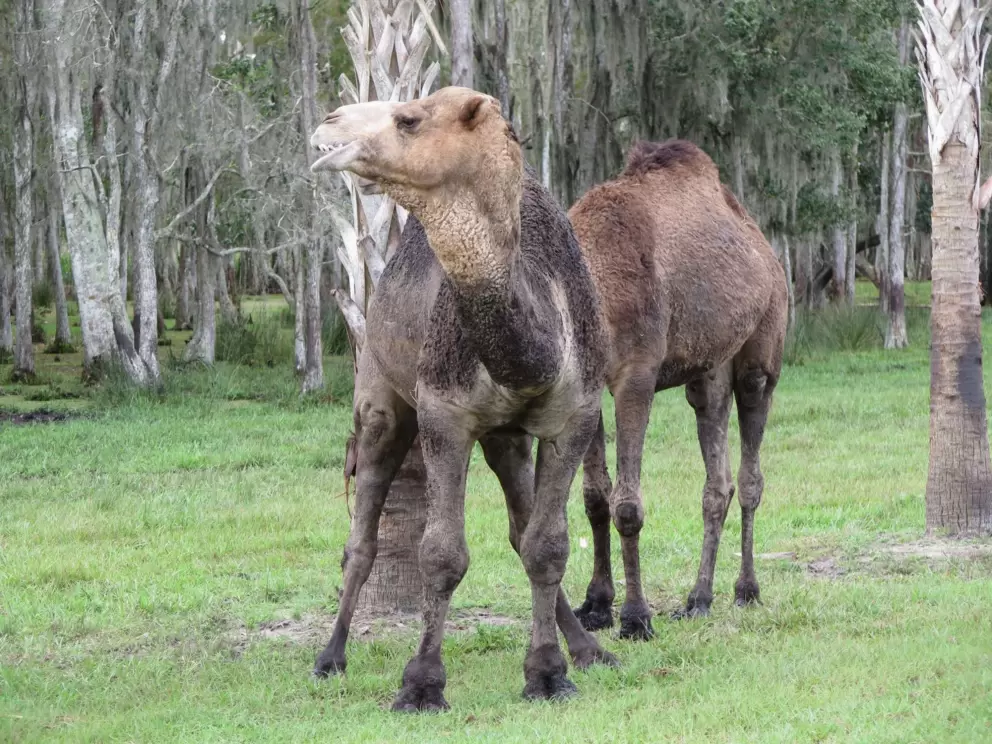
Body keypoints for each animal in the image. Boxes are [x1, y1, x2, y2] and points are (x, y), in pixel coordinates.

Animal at [308, 87, 615, 711]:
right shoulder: (444, 413)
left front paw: (549, 674)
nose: (328, 120)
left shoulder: (575, 416)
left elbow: (547, 545)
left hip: (505, 437)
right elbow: (441, 552)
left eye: (408, 118)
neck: (537, 344)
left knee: (522, 530)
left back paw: (589, 650)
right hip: (380, 393)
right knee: (361, 538)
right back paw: (330, 657)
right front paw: (422, 684)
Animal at [568, 140, 788, 639]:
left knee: (750, 476)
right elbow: (595, 497)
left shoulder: (637, 373)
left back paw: (746, 590)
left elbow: (627, 505)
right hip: (708, 371)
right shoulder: (585, 387)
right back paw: (698, 599)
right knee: (717, 482)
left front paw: (635, 618)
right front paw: (596, 605)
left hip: (762, 354)